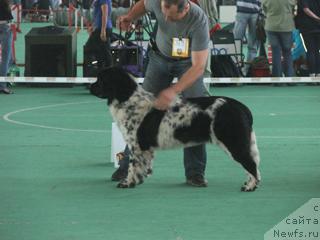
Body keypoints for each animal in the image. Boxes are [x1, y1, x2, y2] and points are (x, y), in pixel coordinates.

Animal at [90, 67, 260, 191]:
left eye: (101, 79)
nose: (91, 87)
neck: (129, 100)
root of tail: (243, 108)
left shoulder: (137, 144)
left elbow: (133, 165)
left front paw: (128, 183)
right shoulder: (144, 148)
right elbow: (143, 165)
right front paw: (138, 180)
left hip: (233, 141)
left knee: (250, 164)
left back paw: (250, 187)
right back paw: (249, 184)